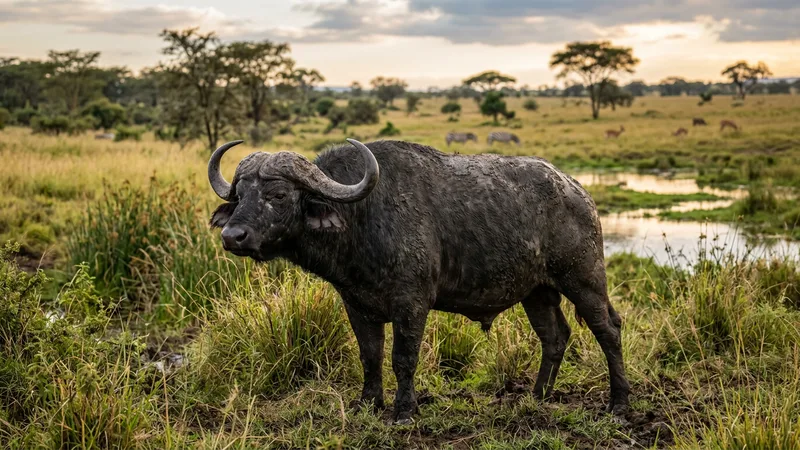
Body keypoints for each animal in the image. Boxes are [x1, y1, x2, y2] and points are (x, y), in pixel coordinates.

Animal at [207, 138, 630, 424]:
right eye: (240, 194)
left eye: (278, 194)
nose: (233, 236)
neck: (363, 216)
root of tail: (577, 190)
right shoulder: (356, 305)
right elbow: (370, 355)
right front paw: (368, 402)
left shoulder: (411, 304)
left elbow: (403, 358)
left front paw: (404, 410)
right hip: (537, 292)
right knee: (555, 336)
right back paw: (538, 396)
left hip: (584, 279)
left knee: (608, 329)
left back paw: (619, 404)